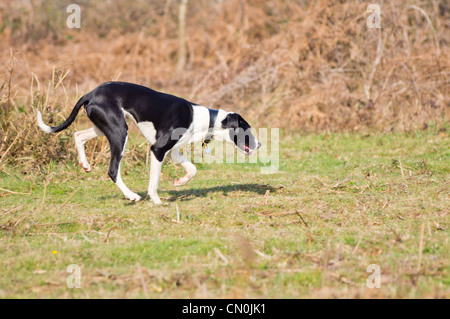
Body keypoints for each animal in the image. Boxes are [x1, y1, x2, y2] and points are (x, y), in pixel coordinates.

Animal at [37, 82, 262, 205]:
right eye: (247, 129)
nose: (259, 144)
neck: (205, 118)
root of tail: (90, 93)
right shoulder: (158, 150)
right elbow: (154, 182)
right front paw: (157, 201)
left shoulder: (174, 152)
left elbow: (193, 169)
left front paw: (180, 182)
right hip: (120, 133)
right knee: (113, 170)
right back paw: (131, 196)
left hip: (105, 127)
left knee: (78, 135)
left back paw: (84, 164)